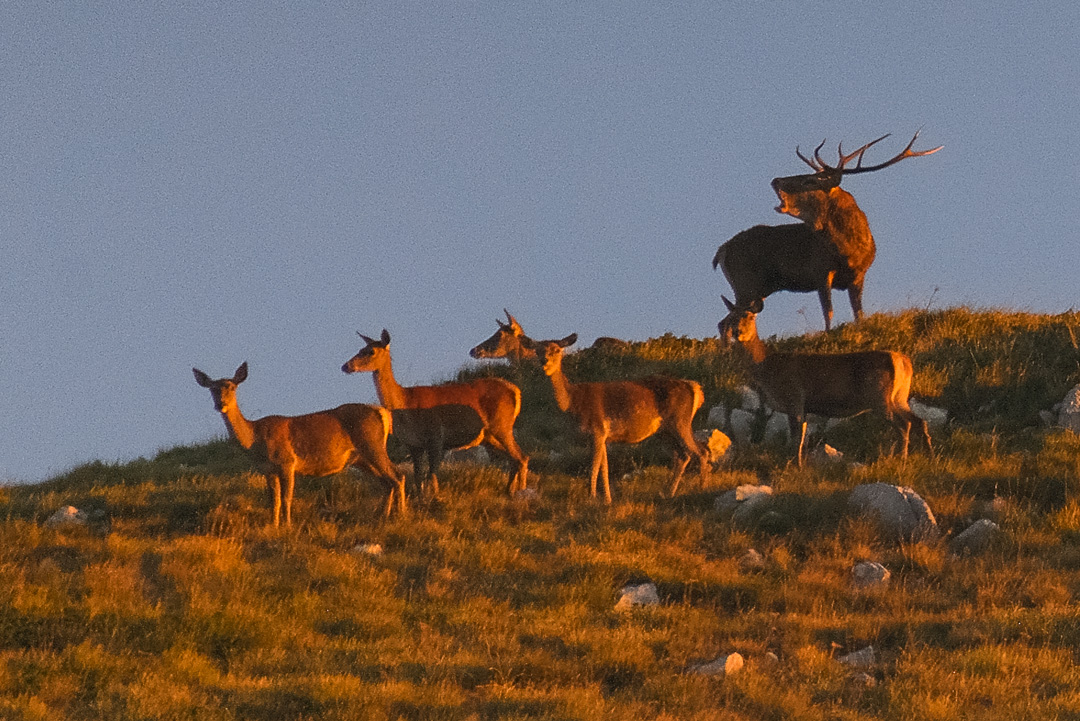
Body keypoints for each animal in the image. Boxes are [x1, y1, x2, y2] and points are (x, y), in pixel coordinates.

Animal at [192, 360, 406, 524]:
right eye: (212, 389)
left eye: (232, 387)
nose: (221, 404)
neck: (255, 439)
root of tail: (383, 413)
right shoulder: (267, 469)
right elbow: (274, 500)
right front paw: (273, 526)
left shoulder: (287, 462)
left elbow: (287, 498)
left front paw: (287, 525)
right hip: (360, 458)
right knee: (387, 482)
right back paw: (382, 516)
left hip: (372, 446)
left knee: (397, 476)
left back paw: (401, 516)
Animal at [343, 332, 529, 496]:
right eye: (361, 348)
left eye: (371, 351)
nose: (345, 366)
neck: (405, 403)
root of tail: (516, 391)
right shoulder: (414, 445)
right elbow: (418, 477)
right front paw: (421, 500)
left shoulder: (436, 437)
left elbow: (432, 476)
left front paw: (434, 498)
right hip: (488, 437)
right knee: (515, 459)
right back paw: (509, 491)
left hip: (501, 425)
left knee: (521, 457)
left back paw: (518, 491)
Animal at [531, 332, 708, 500]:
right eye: (537, 350)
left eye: (556, 350)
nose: (544, 362)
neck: (572, 402)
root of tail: (694, 388)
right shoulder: (603, 436)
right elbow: (604, 468)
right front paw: (607, 499)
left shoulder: (597, 430)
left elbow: (593, 468)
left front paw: (591, 496)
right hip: (664, 431)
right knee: (682, 455)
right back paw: (667, 492)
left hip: (680, 421)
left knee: (700, 451)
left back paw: (701, 489)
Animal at [712, 131, 941, 330]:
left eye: (809, 180)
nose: (775, 180)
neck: (848, 250)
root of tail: (721, 251)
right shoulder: (820, 270)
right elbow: (828, 312)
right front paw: (829, 333)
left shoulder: (859, 274)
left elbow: (859, 313)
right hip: (746, 283)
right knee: (727, 320)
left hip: (754, 288)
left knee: (728, 319)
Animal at [717, 295, 928, 464]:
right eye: (730, 318)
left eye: (750, 316)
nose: (737, 332)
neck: (766, 367)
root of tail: (902, 360)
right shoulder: (803, 407)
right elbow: (801, 439)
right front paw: (799, 464)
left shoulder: (794, 398)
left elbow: (796, 440)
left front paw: (795, 466)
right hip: (900, 396)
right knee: (919, 421)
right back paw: (929, 455)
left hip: (879, 397)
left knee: (904, 425)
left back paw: (902, 459)